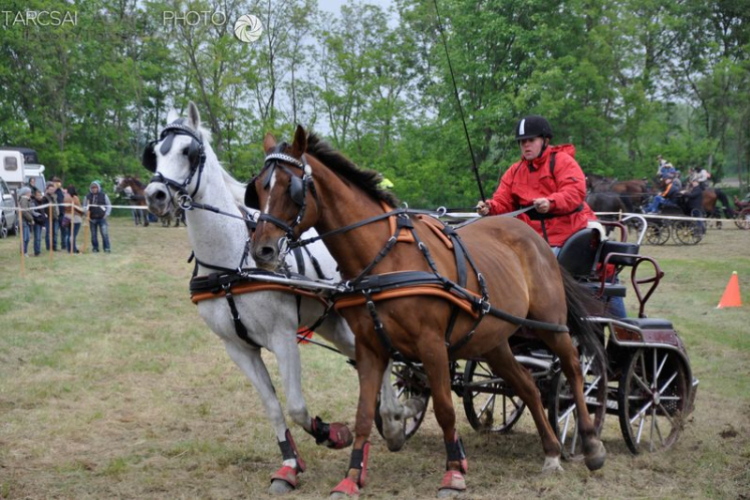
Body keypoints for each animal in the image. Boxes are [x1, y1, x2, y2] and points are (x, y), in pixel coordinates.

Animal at [144, 103, 420, 494]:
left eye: (188, 151)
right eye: (156, 152)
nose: (155, 195)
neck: (232, 262)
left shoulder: (283, 336)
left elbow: (297, 406)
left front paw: (333, 433)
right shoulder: (238, 348)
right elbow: (274, 408)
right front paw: (289, 466)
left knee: (377, 359)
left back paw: (395, 420)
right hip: (332, 323)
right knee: (365, 358)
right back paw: (393, 419)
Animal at [250, 126, 608, 496]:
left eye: (291, 187)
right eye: (259, 186)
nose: (261, 250)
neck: (384, 256)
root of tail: (534, 238)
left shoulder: (432, 345)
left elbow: (445, 410)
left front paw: (454, 473)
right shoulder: (370, 348)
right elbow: (364, 413)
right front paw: (350, 478)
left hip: (551, 325)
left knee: (573, 370)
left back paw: (590, 444)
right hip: (494, 341)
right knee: (527, 386)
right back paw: (551, 452)